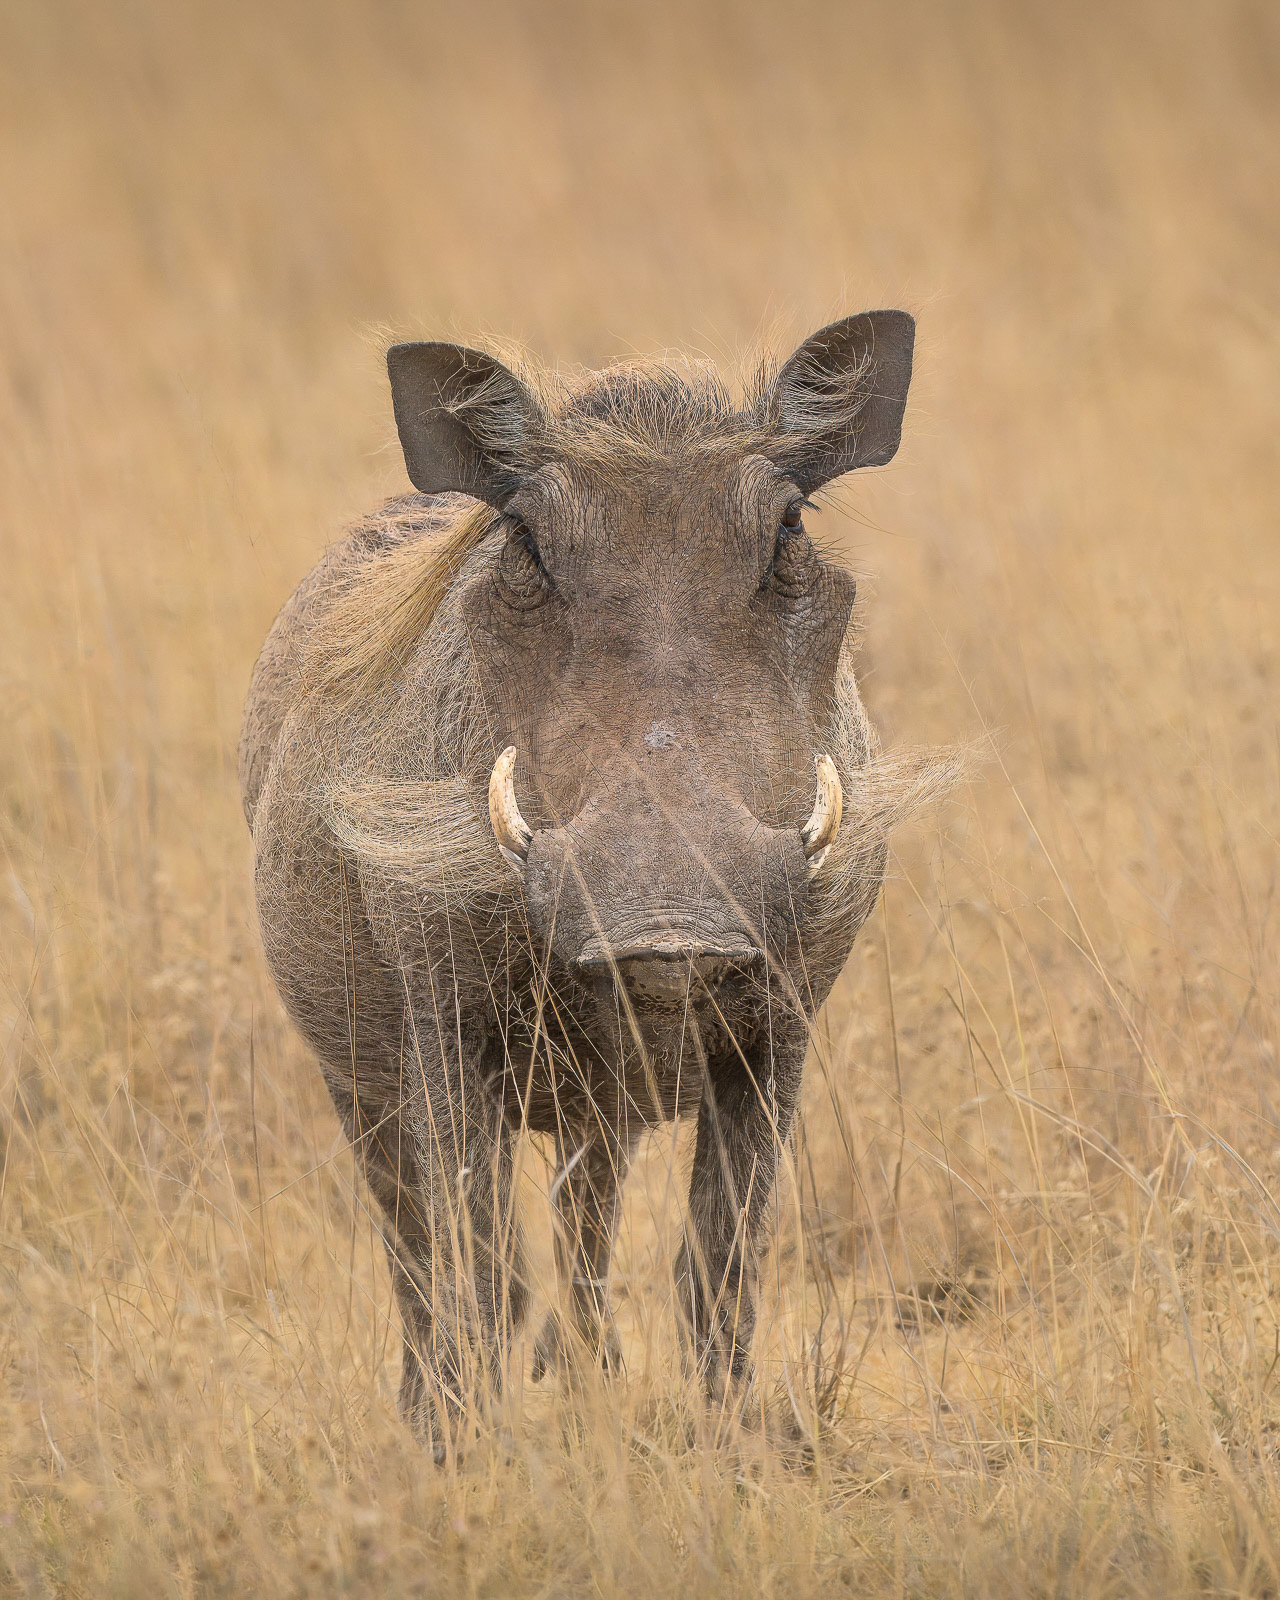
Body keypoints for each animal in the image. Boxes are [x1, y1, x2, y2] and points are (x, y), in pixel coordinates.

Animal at [239, 312, 943, 1456]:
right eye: (525, 543)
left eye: (788, 531)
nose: (668, 924)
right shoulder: (444, 1033)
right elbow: (476, 1268)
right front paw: (466, 1452)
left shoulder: (779, 1034)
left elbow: (717, 1262)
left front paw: (725, 1444)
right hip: (357, 1079)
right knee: (414, 1253)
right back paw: (429, 1410)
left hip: (597, 1099)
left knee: (586, 1217)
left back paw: (583, 1375)